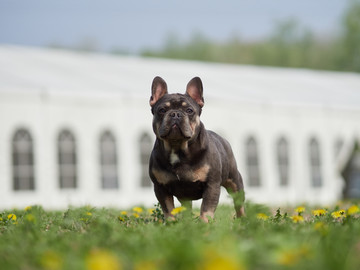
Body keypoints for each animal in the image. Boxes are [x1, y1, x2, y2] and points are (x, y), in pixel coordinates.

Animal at [148, 76, 245, 221]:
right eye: (162, 110)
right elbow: (169, 210)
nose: (175, 114)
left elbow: (206, 209)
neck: (177, 147)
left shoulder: (211, 185)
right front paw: (171, 224)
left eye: (189, 110)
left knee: (239, 204)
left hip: (234, 182)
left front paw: (205, 224)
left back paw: (243, 220)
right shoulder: (160, 188)